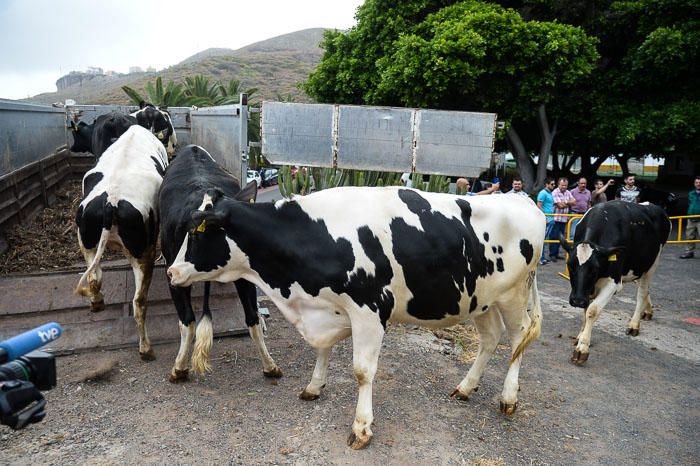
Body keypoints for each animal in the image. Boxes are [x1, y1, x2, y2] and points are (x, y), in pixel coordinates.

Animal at [75, 124, 170, 360]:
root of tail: (111, 200)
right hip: (143, 252)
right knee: (138, 301)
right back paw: (146, 349)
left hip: (86, 242)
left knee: (94, 278)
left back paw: (97, 303)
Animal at [167, 187, 544, 450]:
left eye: (198, 231)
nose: (171, 271)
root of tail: (520, 198)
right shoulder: (328, 309)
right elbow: (322, 351)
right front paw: (313, 387)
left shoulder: (370, 310)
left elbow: (362, 372)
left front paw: (361, 428)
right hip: (481, 299)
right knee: (491, 338)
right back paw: (465, 388)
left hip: (514, 294)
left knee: (519, 336)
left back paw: (509, 398)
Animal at [560, 200, 668, 364]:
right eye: (570, 265)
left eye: (594, 269)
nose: (577, 300)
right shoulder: (587, 289)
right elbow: (586, 310)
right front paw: (581, 335)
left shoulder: (613, 283)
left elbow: (592, 310)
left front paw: (582, 348)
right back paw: (648, 310)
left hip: (651, 264)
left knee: (642, 292)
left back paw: (634, 325)